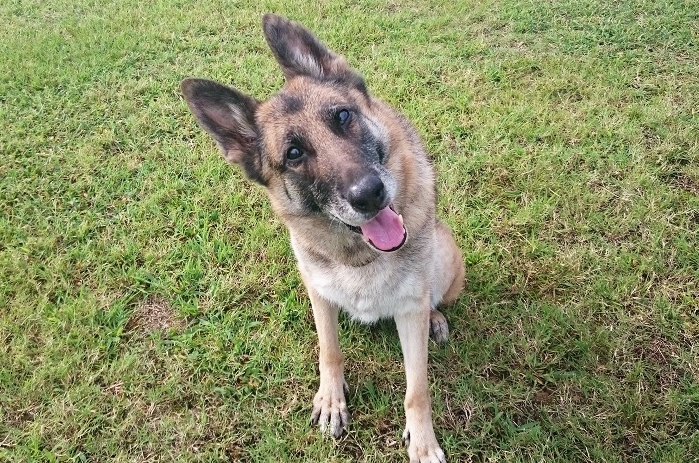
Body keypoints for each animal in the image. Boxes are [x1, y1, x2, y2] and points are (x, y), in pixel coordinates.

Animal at [180, 14, 464, 463]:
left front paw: (422, 441)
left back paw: (435, 316)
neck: (359, 255)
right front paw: (331, 400)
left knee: (432, 300)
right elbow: (329, 351)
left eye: (343, 116)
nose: (370, 194)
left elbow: (417, 390)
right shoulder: (319, 293)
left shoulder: (408, 311)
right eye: (294, 154)